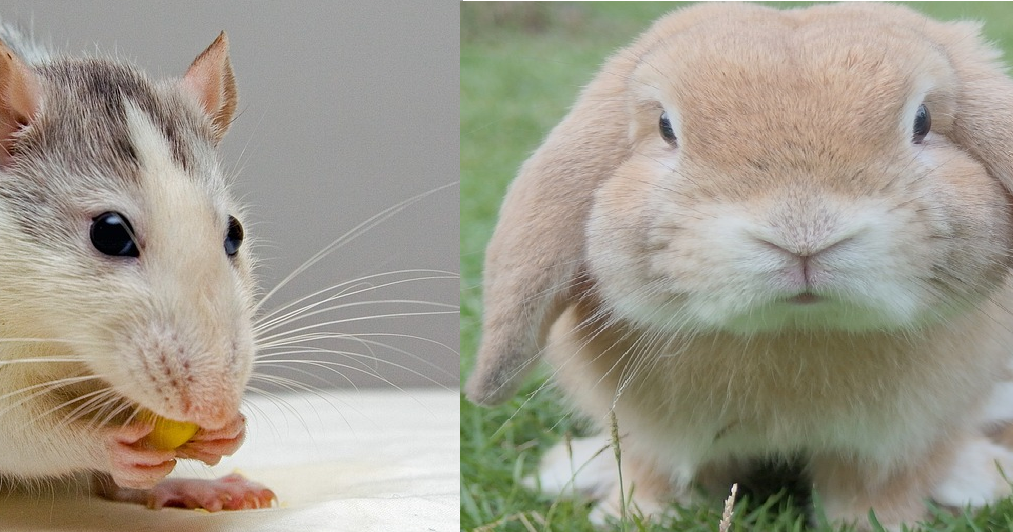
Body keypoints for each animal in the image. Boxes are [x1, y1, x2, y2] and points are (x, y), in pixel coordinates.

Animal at [465, 2, 1013, 530]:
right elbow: (655, 474)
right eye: (666, 128)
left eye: (922, 121)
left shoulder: (896, 441)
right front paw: (634, 516)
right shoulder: (652, 437)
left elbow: (875, 489)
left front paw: (879, 525)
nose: (803, 233)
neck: (796, 333)